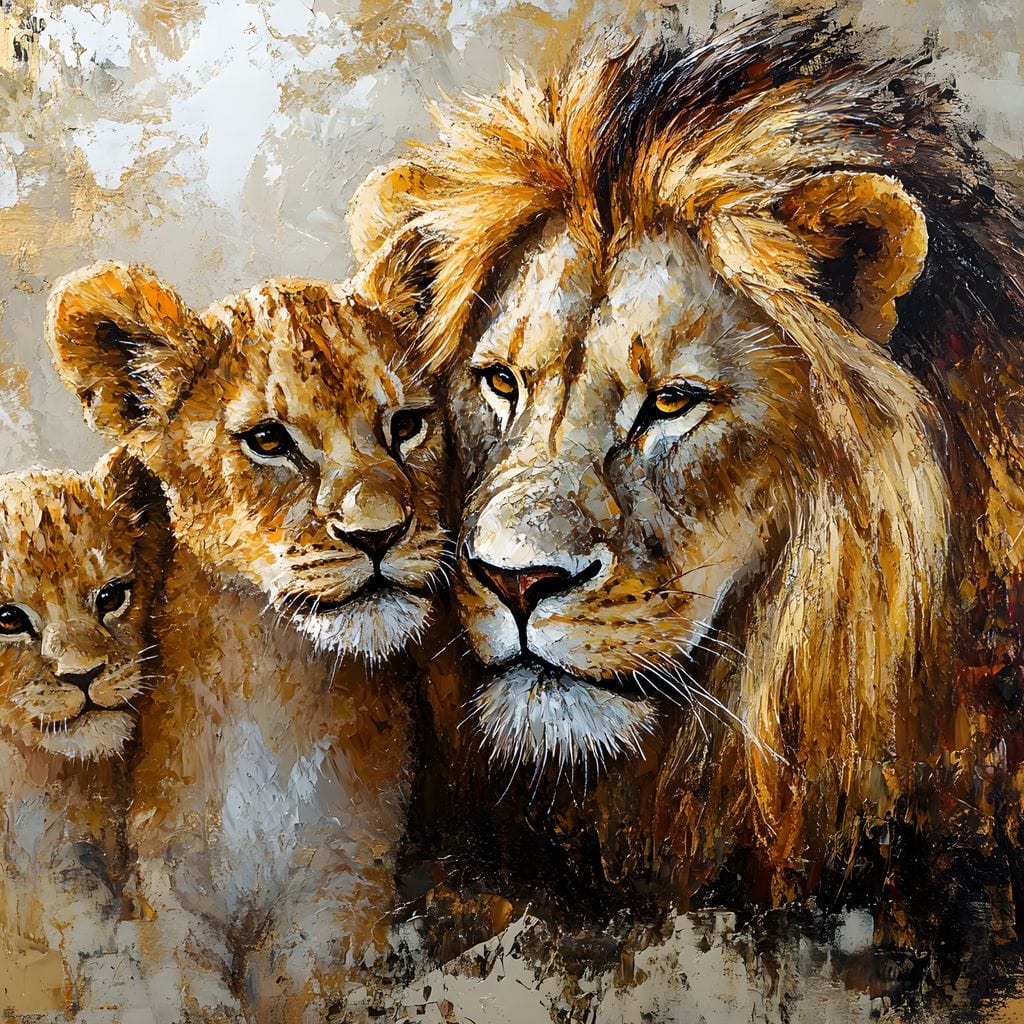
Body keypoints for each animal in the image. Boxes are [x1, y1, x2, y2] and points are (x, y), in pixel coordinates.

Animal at [46, 265, 458, 1022]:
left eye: (406, 425)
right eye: (268, 440)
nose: (380, 532)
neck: (274, 682)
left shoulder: (342, 892)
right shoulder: (170, 894)